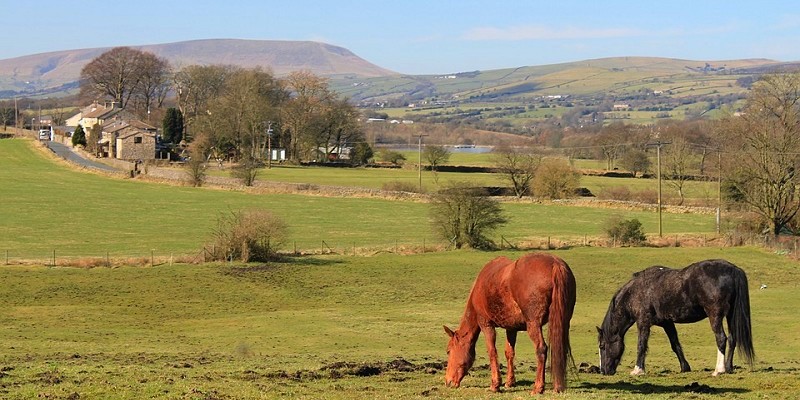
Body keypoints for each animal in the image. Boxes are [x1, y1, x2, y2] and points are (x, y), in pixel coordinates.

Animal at [444, 253, 576, 394]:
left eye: (448, 351)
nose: (448, 381)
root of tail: (555, 264)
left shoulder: (486, 325)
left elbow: (492, 351)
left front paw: (495, 384)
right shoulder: (511, 328)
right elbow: (509, 353)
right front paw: (509, 382)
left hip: (533, 325)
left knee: (541, 349)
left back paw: (538, 387)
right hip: (564, 321)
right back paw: (558, 386)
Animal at [596, 258, 752, 376]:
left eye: (602, 346)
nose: (603, 371)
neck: (636, 292)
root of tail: (733, 269)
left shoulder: (643, 322)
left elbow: (641, 345)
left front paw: (638, 370)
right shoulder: (667, 323)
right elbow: (675, 344)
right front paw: (685, 367)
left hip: (715, 315)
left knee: (721, 338)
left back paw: (719, 370)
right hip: (730, 315)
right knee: (732, 338)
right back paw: (729, 368)